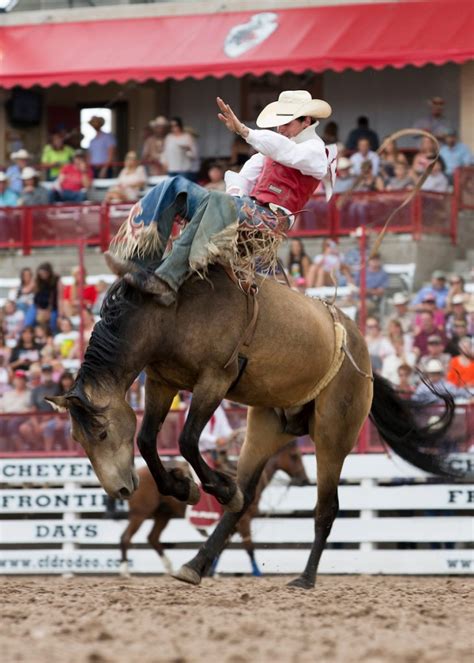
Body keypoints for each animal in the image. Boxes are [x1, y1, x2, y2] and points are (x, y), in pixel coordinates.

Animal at [119, 444, 308, 580]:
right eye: (294, 456)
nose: (304, 480)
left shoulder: (233, 525)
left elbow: (221, 546)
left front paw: (208, 570)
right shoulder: (244, 521)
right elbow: (249, 547)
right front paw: (257, 573)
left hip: (163, 514)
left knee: (153, 538)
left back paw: (168, 568)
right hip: (140, 514)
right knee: (126, 538)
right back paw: (125, 571)